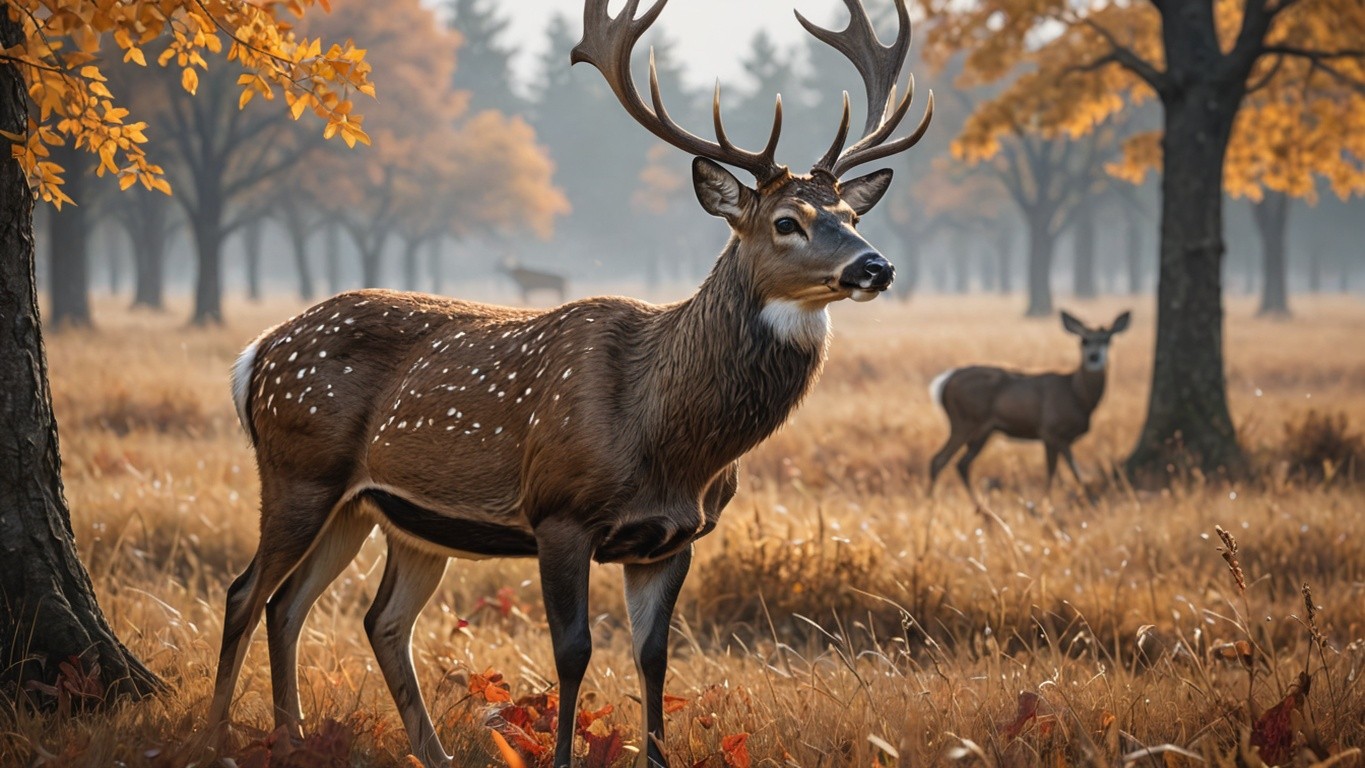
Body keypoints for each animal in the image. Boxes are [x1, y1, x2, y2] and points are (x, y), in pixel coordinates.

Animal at [205, 1, 931, 766]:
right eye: (787, 222)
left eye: (851, 216)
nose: (876, 266)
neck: (669, 439)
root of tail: (255, 354)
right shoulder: (559, 510)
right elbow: (572, 652)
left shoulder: (675, 537)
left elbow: (653, 658)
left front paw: (656, 754)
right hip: (299, 468)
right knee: (247, 594)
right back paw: (218, 733)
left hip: (382, 510)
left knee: (346, 613)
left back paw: (332, 741)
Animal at [927, 310, 1131, 508]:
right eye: (1084, 340)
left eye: (1107, 339)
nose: (1094, 357)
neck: (1077, 395)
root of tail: (945, 381)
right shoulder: (1050, 431)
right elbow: (1056, 471)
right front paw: (1047, 505)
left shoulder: (1063, 439)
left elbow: (1072, 471)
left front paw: (1087, 501)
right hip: (965, 421)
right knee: (938, 460)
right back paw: (932, 503)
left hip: (983, 431)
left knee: (962, 464)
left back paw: (981, 509)